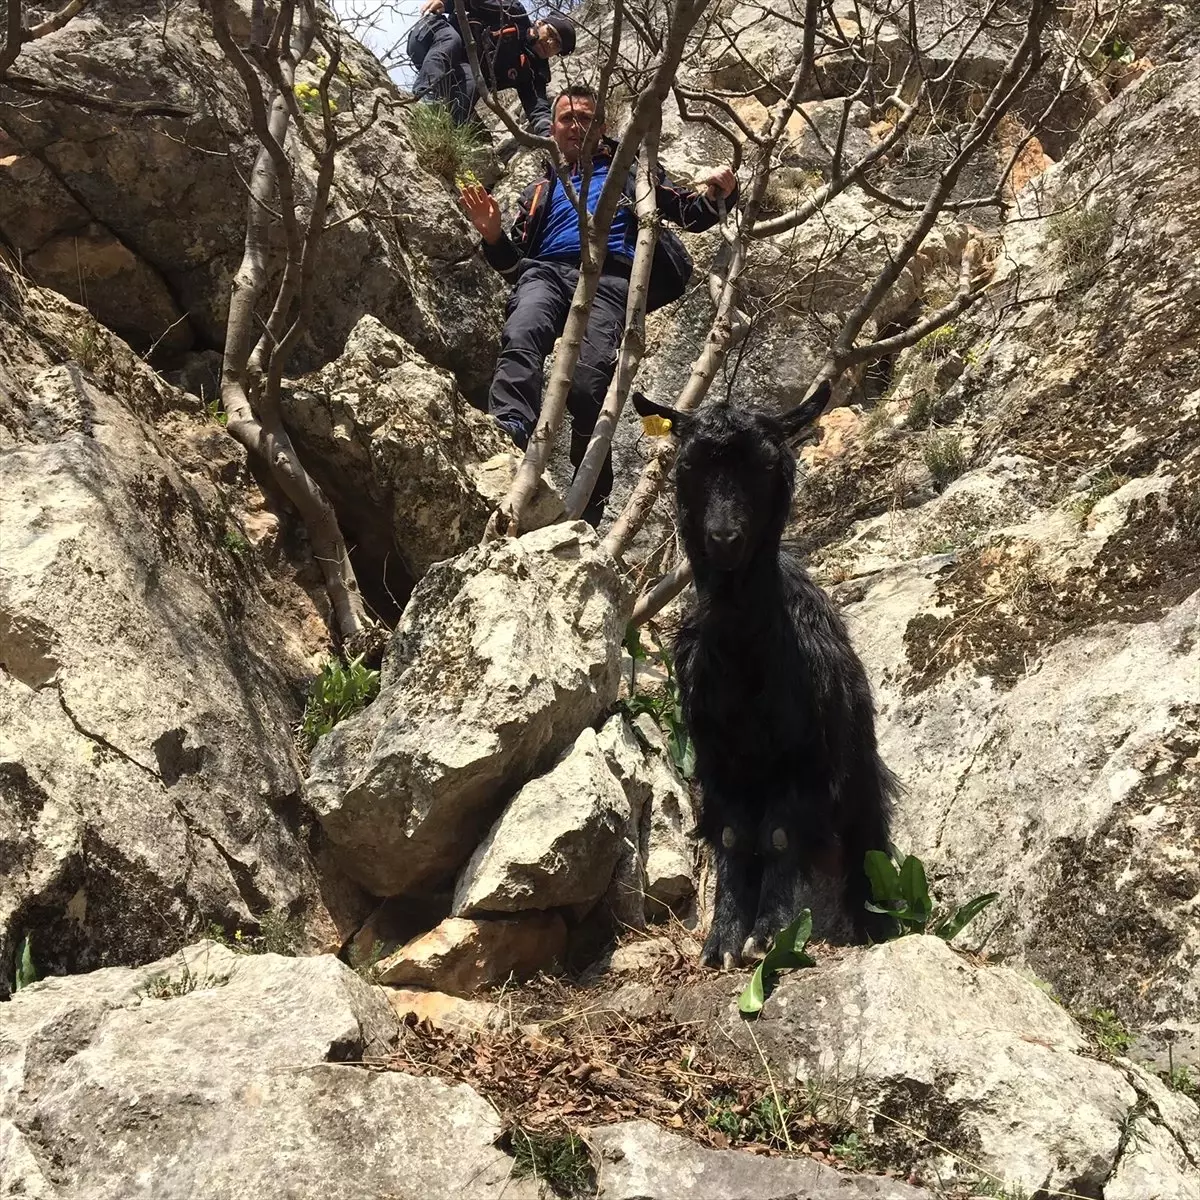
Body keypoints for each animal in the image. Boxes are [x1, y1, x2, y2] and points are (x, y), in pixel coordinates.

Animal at [633, 388, 897, 969]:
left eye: (768, 466)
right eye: (689, 466)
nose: (724, 538)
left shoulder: (805, 760)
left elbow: (778, 837)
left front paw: (769, 935)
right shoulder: (717, 760)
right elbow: (734, 840)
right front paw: (722, 940)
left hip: (856, 763)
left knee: (867, 835)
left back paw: (875, 923)